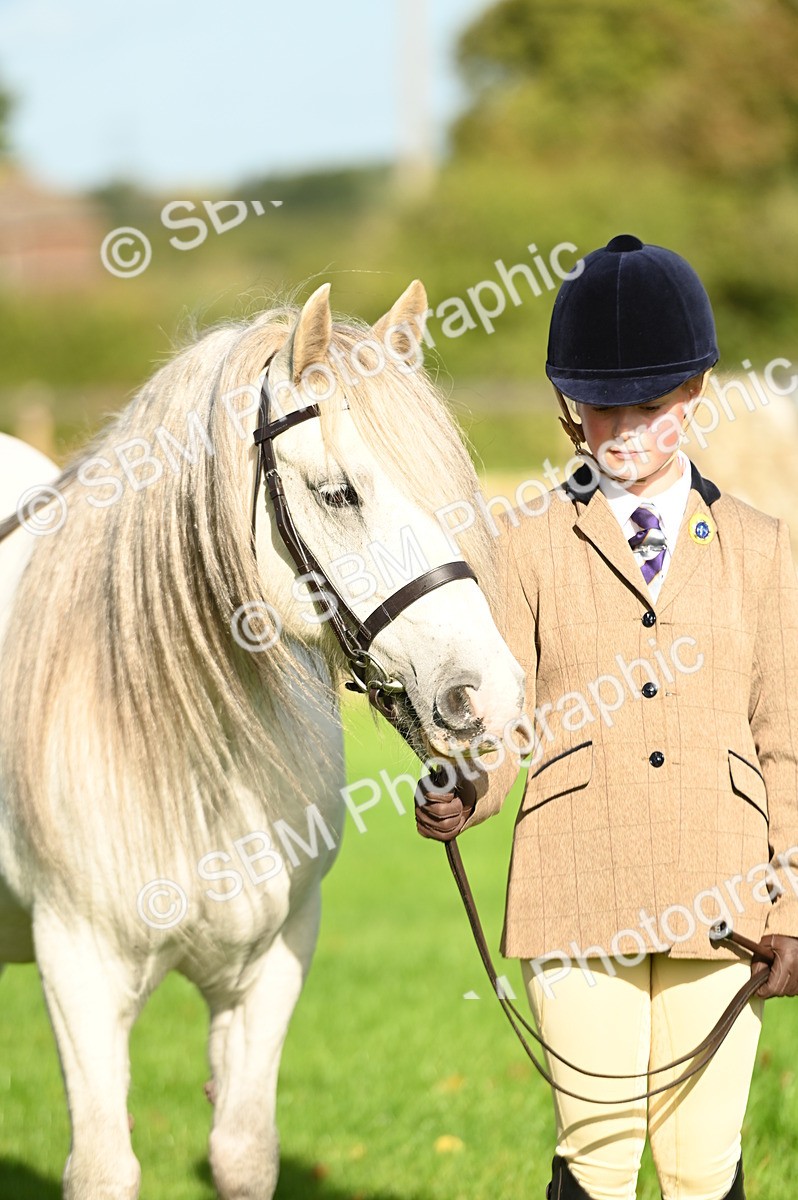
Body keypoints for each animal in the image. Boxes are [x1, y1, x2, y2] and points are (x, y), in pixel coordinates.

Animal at [0, 279, 525, 1200]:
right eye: (339, 493)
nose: (486, 694)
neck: (185, 753)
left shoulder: (271, 965)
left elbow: (242, 1152)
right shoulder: (79, 970)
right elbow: (103, 1167)